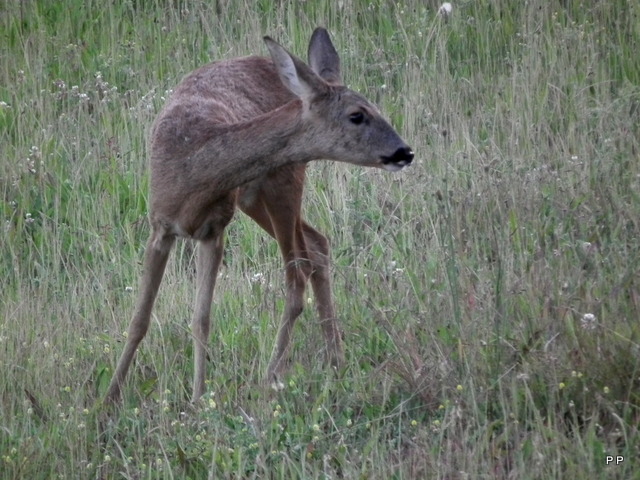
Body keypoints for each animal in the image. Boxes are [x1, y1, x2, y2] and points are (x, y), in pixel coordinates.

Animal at [105, 27, 416, 404]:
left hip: (285, 180)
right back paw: (335, 360)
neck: (193, 169)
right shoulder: (160, 227)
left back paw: (274, 375)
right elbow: (140, 319)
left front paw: (197, 399)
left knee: (298, 273)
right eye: (358, 114)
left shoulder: (214, 229)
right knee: (316, 245)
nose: (404, 151)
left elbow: (200, 319)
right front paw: (107, 399)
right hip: (254, 199)